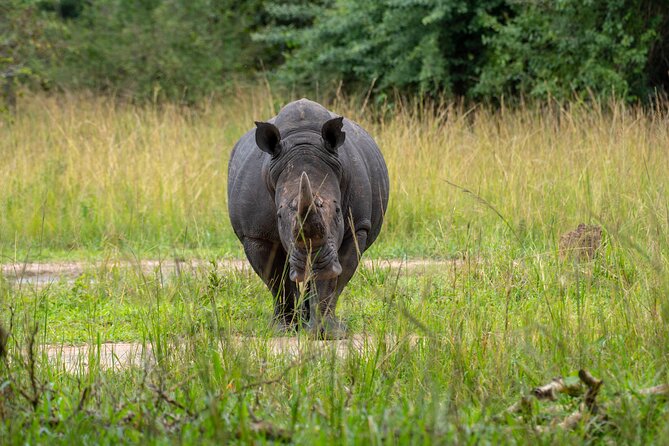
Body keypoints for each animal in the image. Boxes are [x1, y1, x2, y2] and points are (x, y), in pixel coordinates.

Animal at [227, 99, 389, 338]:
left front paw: (326, 333)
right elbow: (277, 281)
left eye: (338, 211)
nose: (313, 261)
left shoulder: (356, 227)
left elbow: (333, 280)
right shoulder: (256, 234)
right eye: (279, 215)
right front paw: (282, 330)